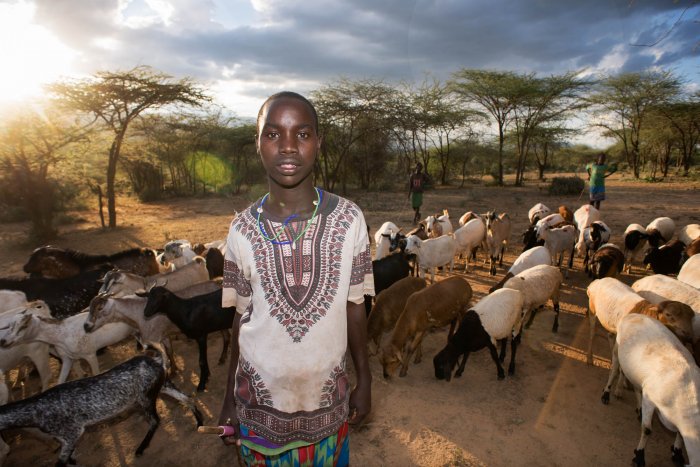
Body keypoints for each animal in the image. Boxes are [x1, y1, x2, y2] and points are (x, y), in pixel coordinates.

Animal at [0, 310, 133, 384]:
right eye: (9, 326)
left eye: (23, 326)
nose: (3, 341)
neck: (62, 334)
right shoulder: (68, 358)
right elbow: (62, 381)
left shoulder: (90, 354)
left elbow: (96, 374)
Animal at [0, 354, 202, 467]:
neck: (35, 411)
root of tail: (157, 360)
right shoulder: (65, 439)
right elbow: (71, 459)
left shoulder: (72, 433)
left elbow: (61, 462)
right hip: (162, 386)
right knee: (187, 398)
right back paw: (200, 422)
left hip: (145, 398)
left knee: (155, 420)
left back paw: (140, 449)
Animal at [608, 312, 700, 467]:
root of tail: (633, 314)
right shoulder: (649, 399)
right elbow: (647, 430)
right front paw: (639, 456)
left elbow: (680, 436)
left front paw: (677, 453)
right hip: (617, 349)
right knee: (615, 370)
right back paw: (606, 394)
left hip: (637, 373)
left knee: (636, 387)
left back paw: (639, 410)